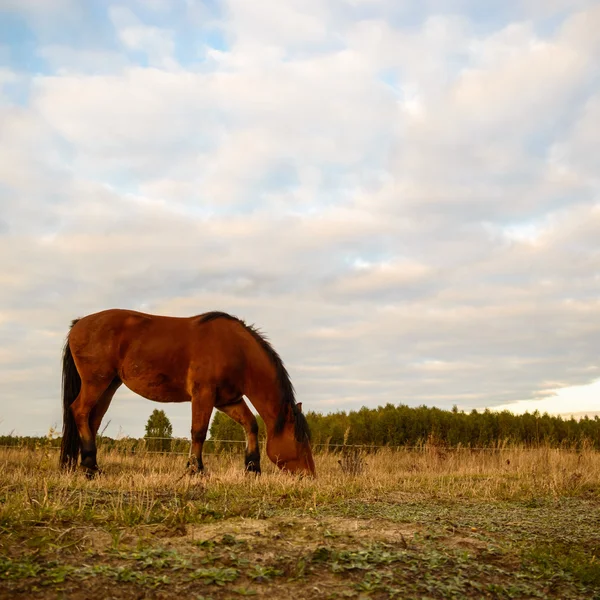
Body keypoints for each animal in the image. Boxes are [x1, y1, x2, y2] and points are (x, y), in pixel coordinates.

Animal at [58, 310, 316, 478]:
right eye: (300, 440)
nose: (310, 474)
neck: (237, 350)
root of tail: (79, 323)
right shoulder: (204, 395)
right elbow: (198, 432)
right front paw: (195, 468)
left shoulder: (228, 400)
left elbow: (251, 424)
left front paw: (252, 467)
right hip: (96, 383)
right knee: (79, 411)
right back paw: (90, 467)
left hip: (109, 385)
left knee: (93, 419)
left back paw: (90, 465)